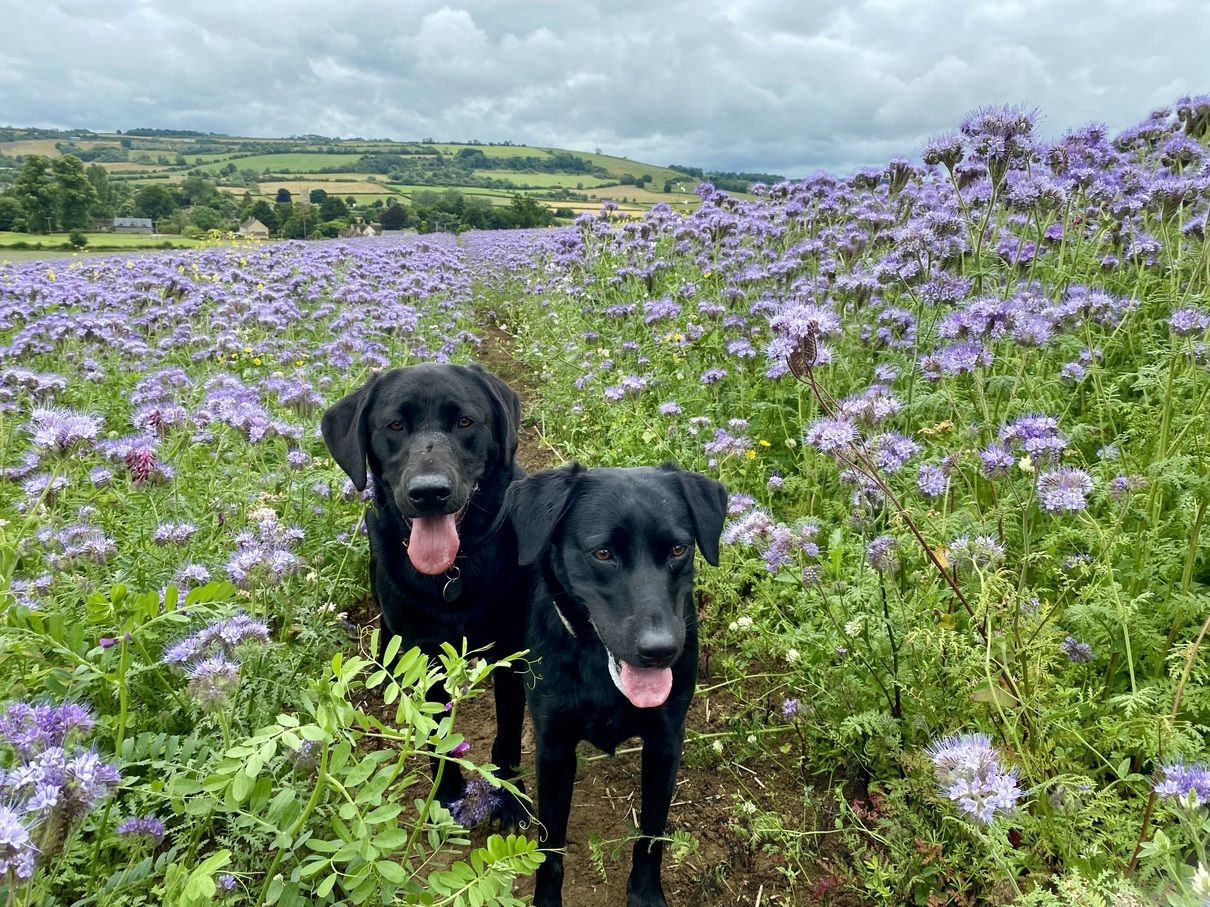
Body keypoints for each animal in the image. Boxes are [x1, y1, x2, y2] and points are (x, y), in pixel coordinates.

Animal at [321, 362, 528, 820]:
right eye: (395, 425)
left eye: (465, 422)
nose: (429, 492)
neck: (453, 573)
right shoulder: (422, 654)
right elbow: (435, 734)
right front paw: (448, 794)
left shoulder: (512, 651)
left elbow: (509, 731)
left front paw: (510, 796)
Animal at [507, 463, 727, 907]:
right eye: (603, 554)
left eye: (678, 550)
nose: (661, 650)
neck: (599, 663)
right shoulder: (554, 749)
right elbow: (549, 848)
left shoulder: (665, 742)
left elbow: (652, 834)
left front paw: (645, 895)